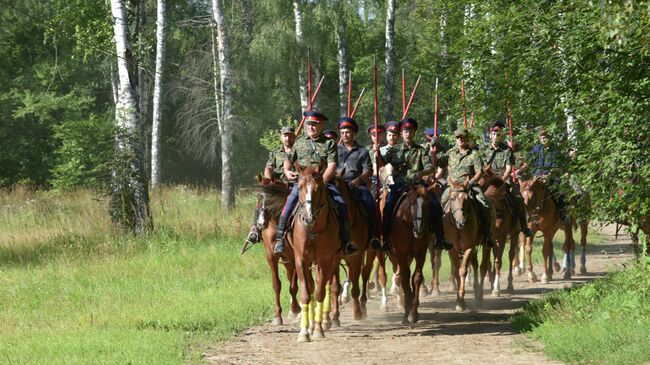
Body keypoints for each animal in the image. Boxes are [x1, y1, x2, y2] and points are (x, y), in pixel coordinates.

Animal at [288, 165, 340, 342]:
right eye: (299, 187)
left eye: (319, 188)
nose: (308, 217)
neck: (312, 231)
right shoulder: (300, 262)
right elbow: (306, 293)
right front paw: (304, 332)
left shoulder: (325, 262)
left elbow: (320, 293)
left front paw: (318, 329)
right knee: (310, 287)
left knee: (324, 286)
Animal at [442, 179, 488, 310]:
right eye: (452, 198)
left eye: (466, 199)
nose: (461, 222)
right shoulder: (452, 250)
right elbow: (456, 272)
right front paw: (459, 300)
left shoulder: (468, 247)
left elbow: (462, 271)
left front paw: (461, 301)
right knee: (475, 264)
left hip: (485, 244)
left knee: (483, 267)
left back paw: (479, 296)